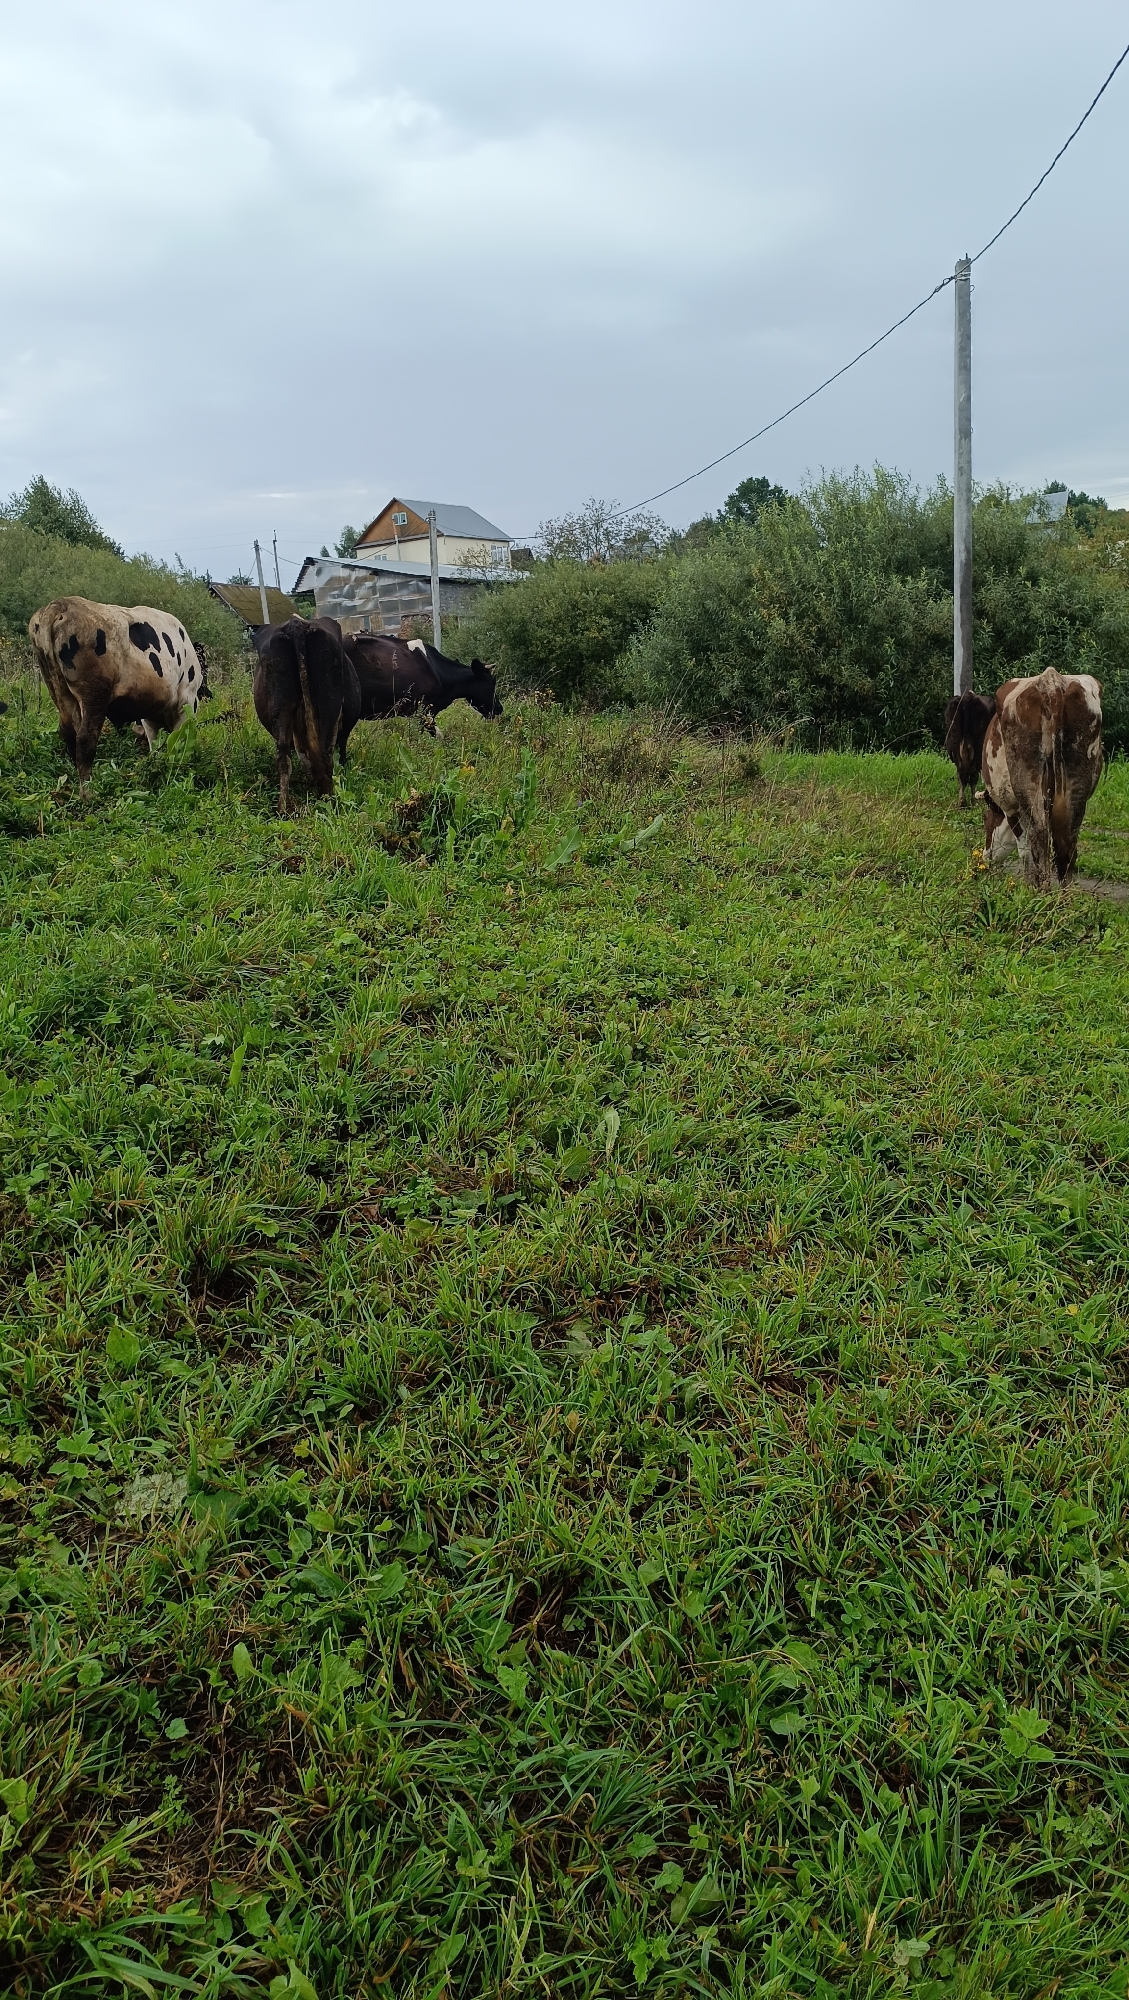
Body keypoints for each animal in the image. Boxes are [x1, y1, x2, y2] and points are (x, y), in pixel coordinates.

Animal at [29, 596, 206, 791]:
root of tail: (61, 604)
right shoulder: (186, 702)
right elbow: (179, 742)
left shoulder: (150, 715)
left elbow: (155, 746)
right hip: (95, 692)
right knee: (85, 740)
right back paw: (88, 792)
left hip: (58, 689)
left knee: (69, 735)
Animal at [251, 616, 359, 813]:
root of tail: (296, 625)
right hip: (329, 708)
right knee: (325, 754)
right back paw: (329, 801)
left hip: (280, 706)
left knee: (283, 756)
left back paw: (283, 809)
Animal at [980, 667, 1103, 888]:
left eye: (986, 819)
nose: (986, 858)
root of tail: (1051, 682)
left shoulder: (1011, 807)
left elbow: (1025, 851)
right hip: (1077, 787)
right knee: (1066, 847)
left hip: (1027, 784)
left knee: (1039, 837)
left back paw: (1040, 892)